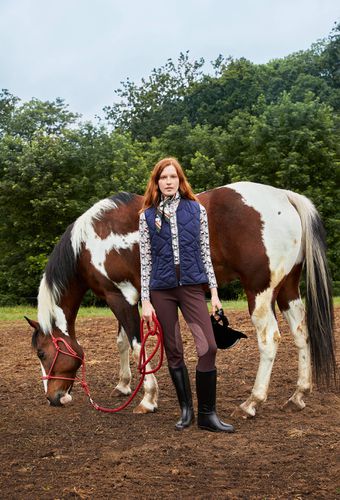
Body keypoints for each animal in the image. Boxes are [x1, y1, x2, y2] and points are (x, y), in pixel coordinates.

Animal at [26, 182, 334, 416]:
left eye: (42, 353)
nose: (53, 397)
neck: (90, 241)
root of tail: (284, 196)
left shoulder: (119, 296)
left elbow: (136, 344)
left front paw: (148, 398)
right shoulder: (128, 296)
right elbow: (122, 341)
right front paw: (124, 385)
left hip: (260, 293)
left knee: (270, 340)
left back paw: (252, 402)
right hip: (287, 290)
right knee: (301, 334)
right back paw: (298, 394)